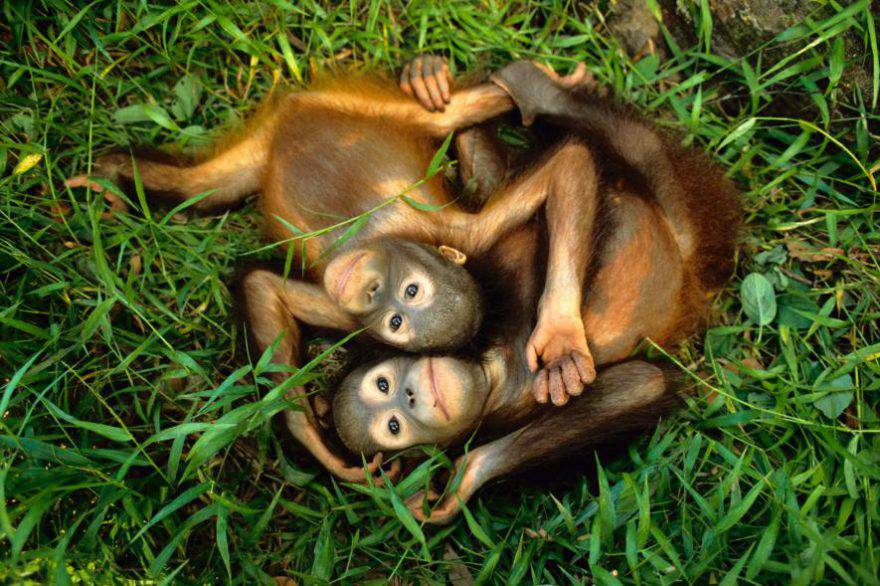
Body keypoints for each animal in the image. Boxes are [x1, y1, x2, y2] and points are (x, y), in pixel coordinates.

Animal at [65, 59, 607, 482]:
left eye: (397, 320)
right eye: (411, 291)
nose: (370, 289)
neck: (379, 239)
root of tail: (290, 118)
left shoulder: (344, 312)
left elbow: (265, 289)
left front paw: (317, 447)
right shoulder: (469, 236)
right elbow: (568, 169)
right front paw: (563, 336)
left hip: (262, 150)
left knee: (200, 188)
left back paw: (114, 177)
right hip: (350, 105)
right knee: (446, 115)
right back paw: (539, 85)